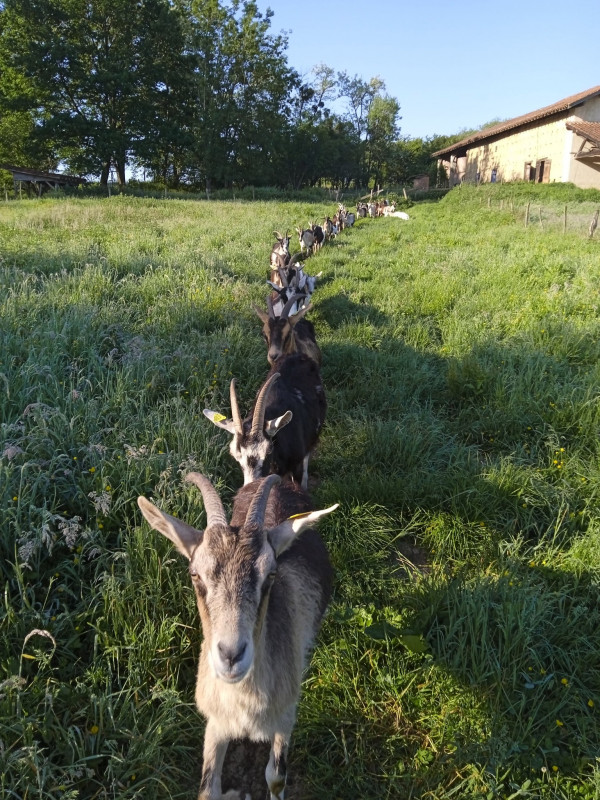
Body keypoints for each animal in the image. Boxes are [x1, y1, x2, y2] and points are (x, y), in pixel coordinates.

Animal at [139, 468, 338, 800]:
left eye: (271, 573)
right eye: (195, 573)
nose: (231, 655)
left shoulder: (286, 714)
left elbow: (275, 777)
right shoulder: (217, 720)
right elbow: (208, 789)